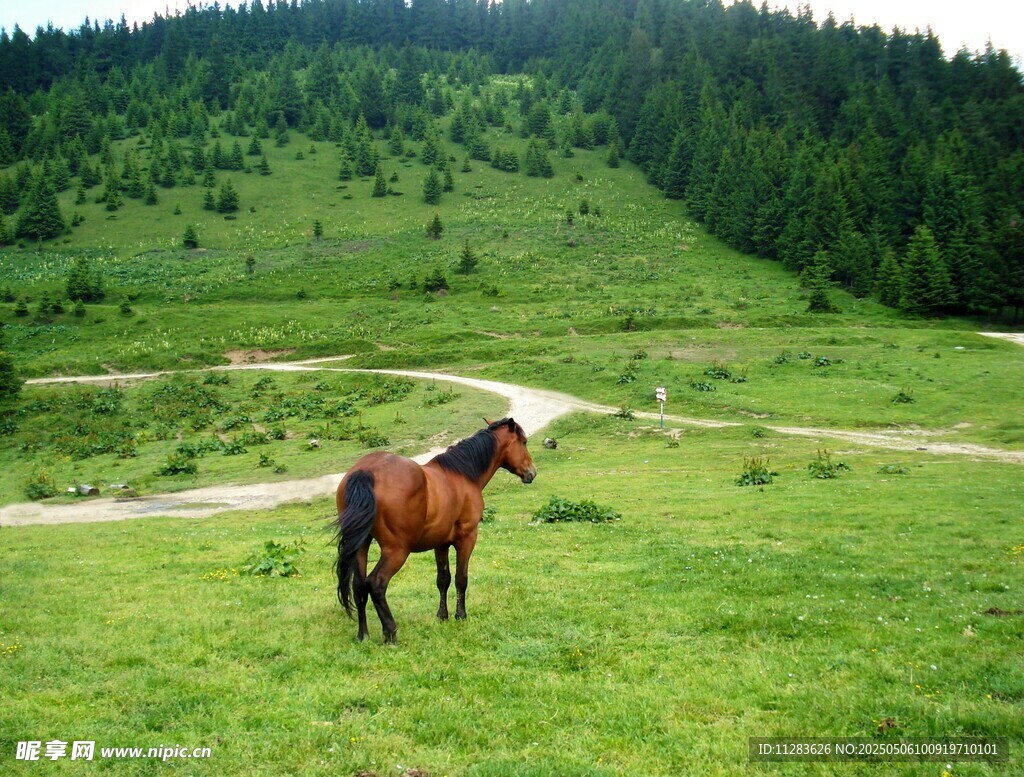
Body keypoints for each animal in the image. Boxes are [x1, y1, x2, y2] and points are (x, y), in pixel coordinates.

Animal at [334, 417, 536, 645]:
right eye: (524, 442)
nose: (532, 472)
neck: (461, 475)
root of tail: (366, 472)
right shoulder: (467, 538)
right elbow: (461, 579)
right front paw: (460, 615)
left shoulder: (440, 544)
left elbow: (443, 580)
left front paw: (442, 616)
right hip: (396, 551)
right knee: (376, 584)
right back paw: (390, 633)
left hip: (362, 544)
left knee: (359, 587)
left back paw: (363, 635)